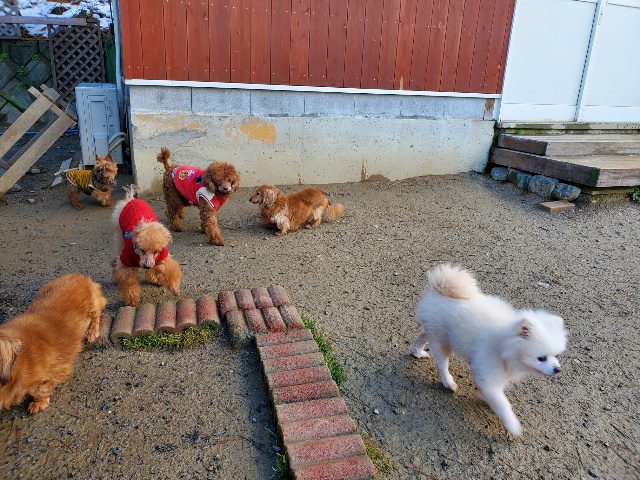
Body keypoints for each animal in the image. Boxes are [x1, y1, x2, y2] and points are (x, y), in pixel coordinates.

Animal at [0, 273, 106, 414]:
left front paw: (39, 403)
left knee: (96, 315)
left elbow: (40, 391)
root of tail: (79, 275)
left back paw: (92, 332)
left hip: (93, 305)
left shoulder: (51, 374)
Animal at [411, 264, 567, 435]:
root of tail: (438, 289)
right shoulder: (489, 373)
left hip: (434, 332)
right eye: (541, 358)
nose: (557, 369)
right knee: (442, 363)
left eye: (556, 355)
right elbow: (502, 402)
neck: (504, 343)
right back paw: (448, 382)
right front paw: (512, 425)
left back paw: (417, 351)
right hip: (442, 341)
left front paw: (485, 398)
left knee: (423, 335)